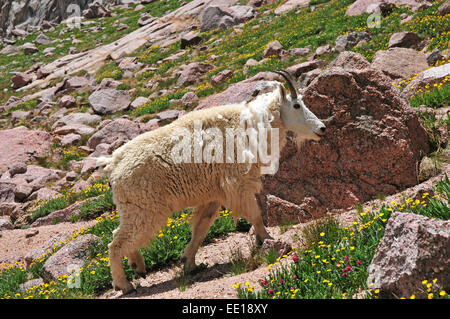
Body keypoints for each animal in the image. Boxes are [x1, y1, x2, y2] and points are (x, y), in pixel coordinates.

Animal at [96, 70, 326, 296]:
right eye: (296, 105)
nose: (322, 128)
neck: (253, 125)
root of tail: (112, 165)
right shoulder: (237, 184)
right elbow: (255, 214)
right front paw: (266, 238)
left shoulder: (214, 195)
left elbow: (201, 228)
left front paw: (189, 263)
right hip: (143, 207)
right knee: (116, 242)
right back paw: (124, 284)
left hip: (136, 209)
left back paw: (138, 266)